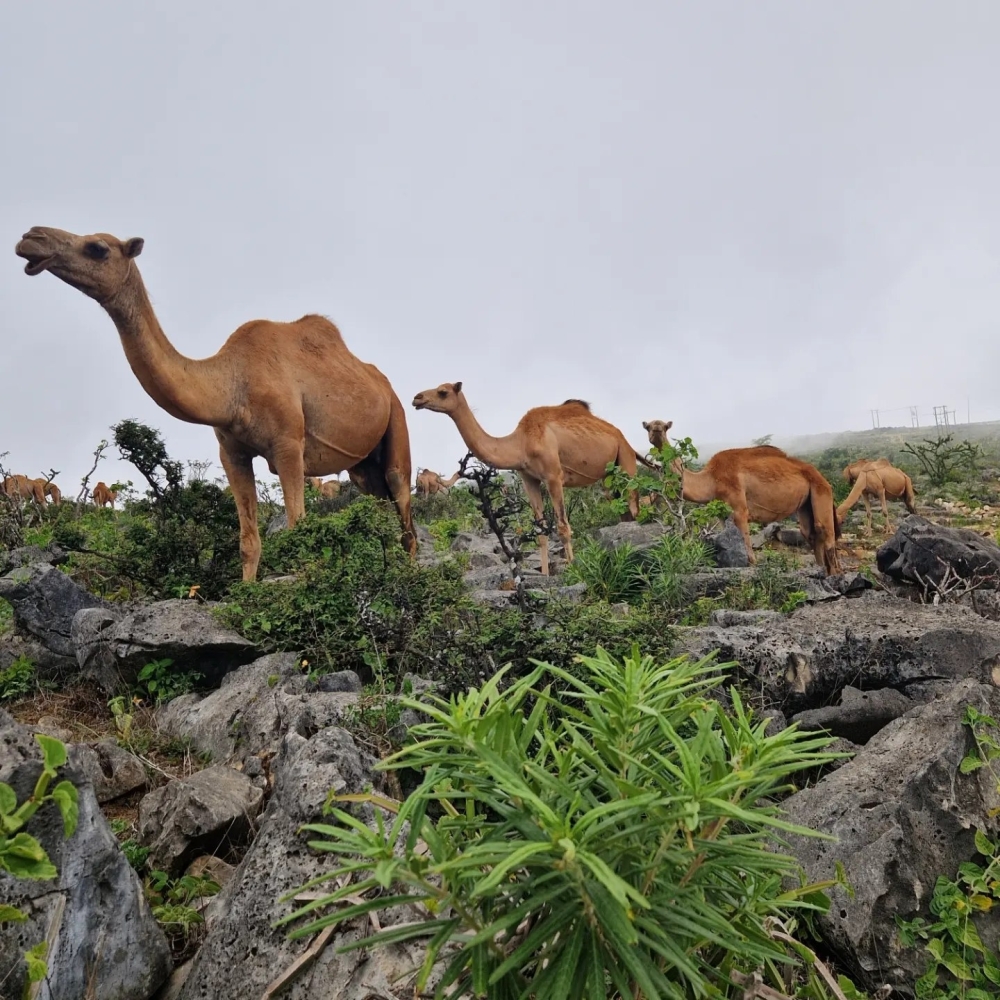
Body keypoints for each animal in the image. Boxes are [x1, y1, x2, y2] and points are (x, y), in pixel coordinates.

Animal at [16, 227, 417, 581]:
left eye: (97, 248)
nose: (30, 238)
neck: (230, 386)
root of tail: (384, 384)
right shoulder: (232, 452)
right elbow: (248, 541)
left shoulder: (289, 445)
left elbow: (297, 528)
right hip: (361, 467)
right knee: (384, 507)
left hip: (396, 420)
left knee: (404, 509)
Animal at [412, 382, 652, 574]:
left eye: (443, 392)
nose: (417, 398)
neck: (521, 444)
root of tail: (625, 439)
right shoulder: (529, 479)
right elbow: (541, 531)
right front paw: (545, 575)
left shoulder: (554, 476)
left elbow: (563, 527)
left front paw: (573, 570)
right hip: (609, 477)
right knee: (623, 511)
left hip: (626, 461)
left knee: (634, 508)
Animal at [643, 423, 841, 574]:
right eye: (648, 427)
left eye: (664, 426)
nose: (657, 431)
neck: (711, 479)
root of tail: (822, 477)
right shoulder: (722, 514)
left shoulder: (739, 507)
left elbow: (747, 545)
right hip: (806, 504)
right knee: (811, 534)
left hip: (821, 490)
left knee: (826, 534)